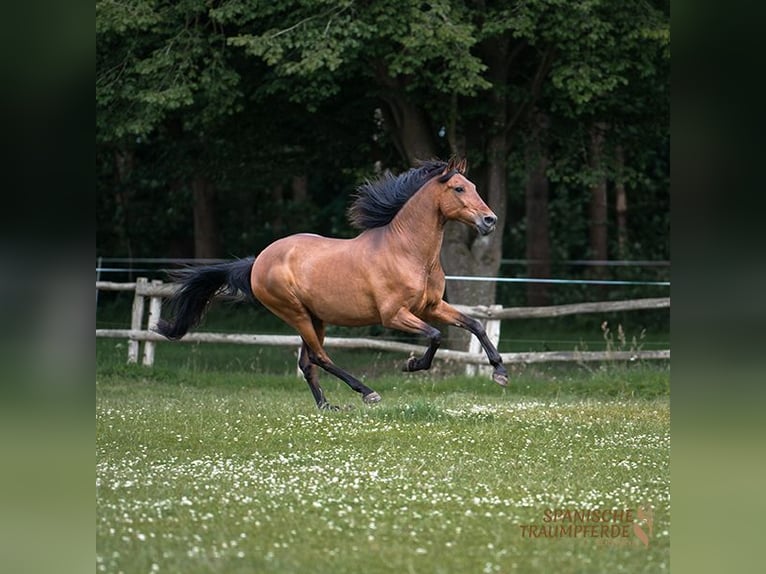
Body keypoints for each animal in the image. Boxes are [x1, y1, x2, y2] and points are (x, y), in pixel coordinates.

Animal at [158, 158, 510, 410]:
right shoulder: (394, 315)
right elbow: (436, 336)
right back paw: (367, 393)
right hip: (295, 313)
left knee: (307, 362)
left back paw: (327, 406)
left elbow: (476, 325)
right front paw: (412, 364)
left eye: (473, 186)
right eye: (458, 189)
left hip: (315, 317)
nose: (490, 220)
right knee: (319, 357)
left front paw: (500, 373)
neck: (407, 252)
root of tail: (258, 261)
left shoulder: (431, 306)